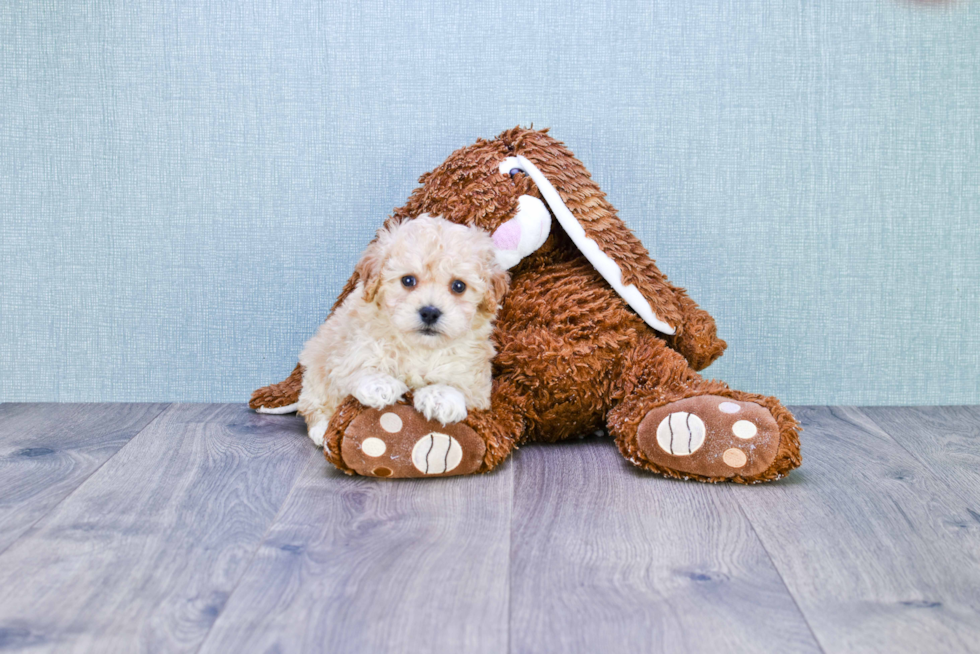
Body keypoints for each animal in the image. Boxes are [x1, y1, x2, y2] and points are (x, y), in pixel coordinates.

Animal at [296, 215, 512, 446]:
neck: (419, 348)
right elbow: (356, 366)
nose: (430, 312)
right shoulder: (347, 348)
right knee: (313, 403)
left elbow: (460, 382)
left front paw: (440, 396)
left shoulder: (476, 381)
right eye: (408, 280)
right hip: (315, 366)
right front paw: (379, 383)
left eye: (458, 286)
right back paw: (321, 431)